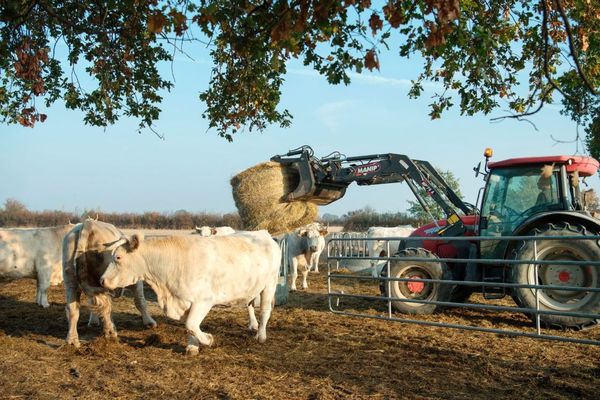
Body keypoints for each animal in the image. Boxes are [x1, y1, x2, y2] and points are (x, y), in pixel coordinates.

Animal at [101, 230, 282, 354]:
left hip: (270, 284)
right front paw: (192, 347)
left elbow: (190, 324)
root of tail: (263, 233)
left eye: (118, 258)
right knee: (250, 304)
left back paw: (261, 336)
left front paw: (208, 340)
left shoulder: (204, 300)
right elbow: (190, 326)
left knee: (265, 310)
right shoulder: (185, 300)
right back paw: (253, 326)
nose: (102, 280)